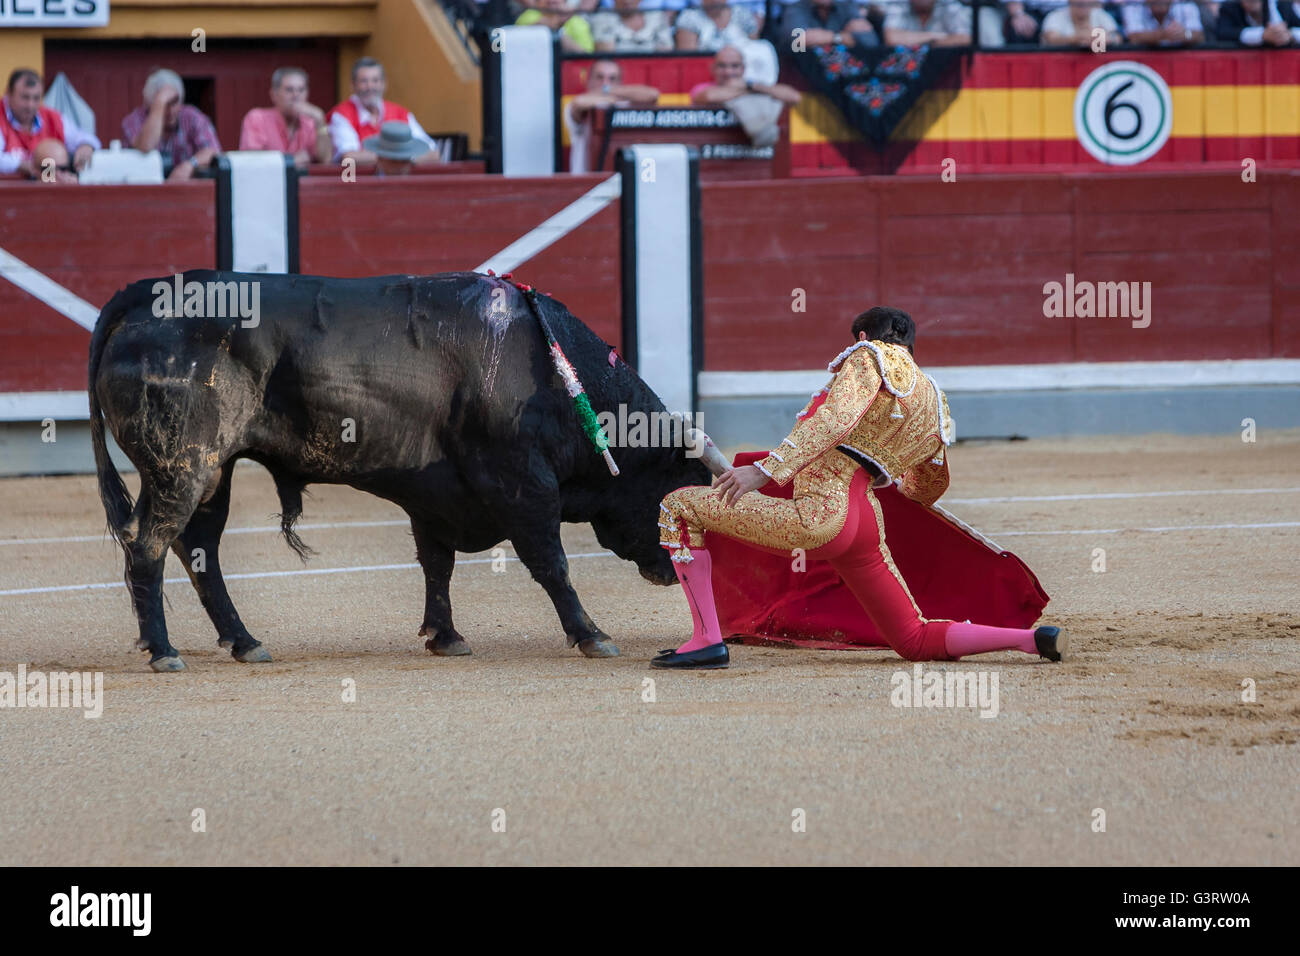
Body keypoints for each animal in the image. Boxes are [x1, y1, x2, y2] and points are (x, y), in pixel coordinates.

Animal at [90, 269, 712, 671]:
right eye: (675, 491)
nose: (673, 567)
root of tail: (141, 295)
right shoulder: (523, 486)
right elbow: (551, 563)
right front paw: (591, 635)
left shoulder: (435, 496)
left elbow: (437, 565)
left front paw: (446, 636)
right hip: (182, 466)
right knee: (148, 543)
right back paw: (164, 652)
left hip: (213, 472)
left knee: (198, 549)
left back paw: (244, 642)